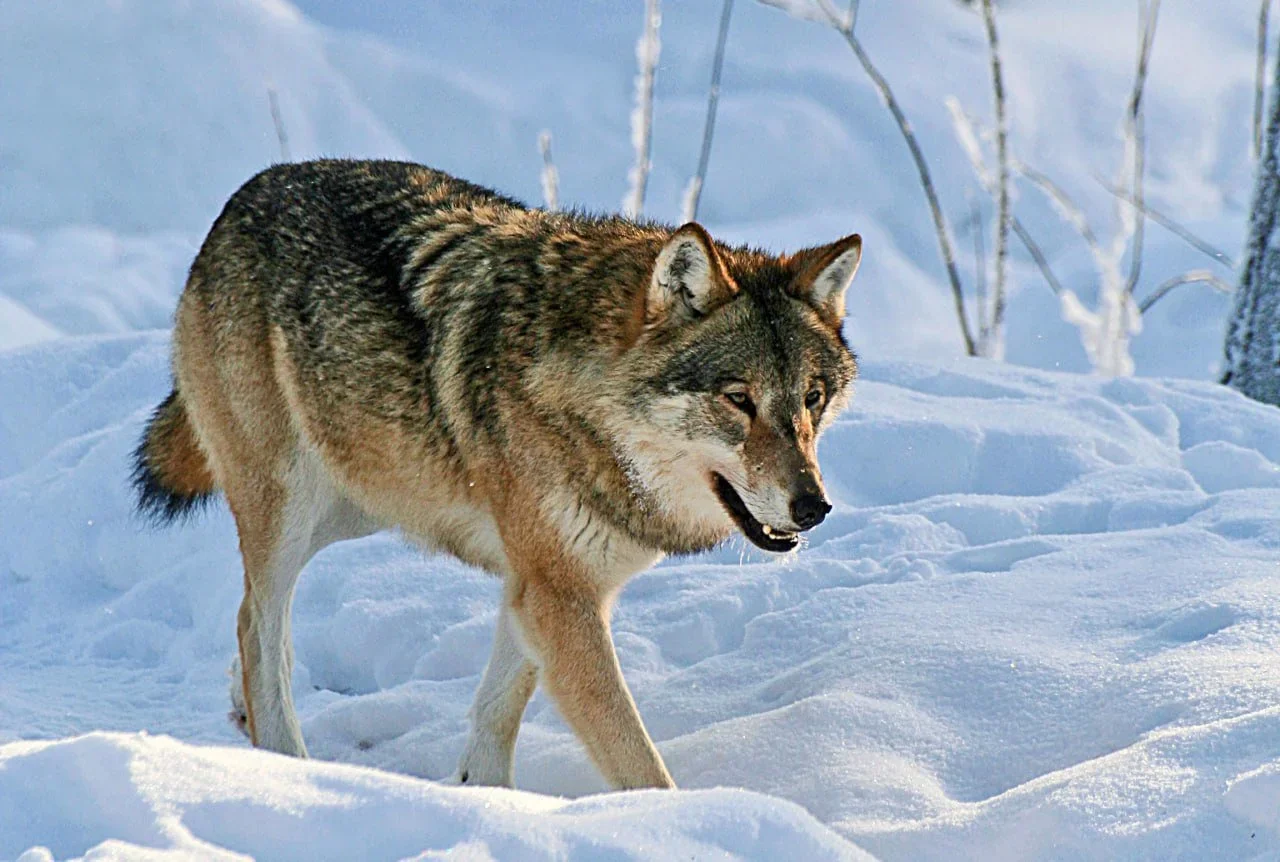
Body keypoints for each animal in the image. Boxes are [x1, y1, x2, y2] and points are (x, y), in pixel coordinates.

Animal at [132, 159, 860, 790]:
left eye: (811, 398)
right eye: (738, 399)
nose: (814, 506)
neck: (582, 402)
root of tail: (247, 192)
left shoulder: (534, 583)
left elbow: (498, 707)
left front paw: (489, 801)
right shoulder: (559, 597)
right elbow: (637, 760)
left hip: (359, 499)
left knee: (250, 617)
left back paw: (242, 710)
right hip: (291, 506)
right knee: (259, 625)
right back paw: (286, 763)